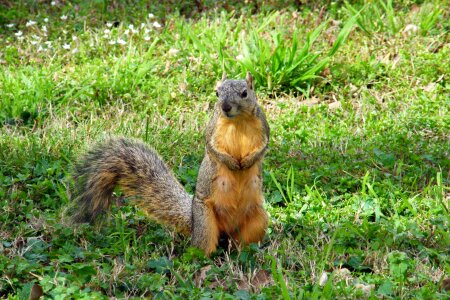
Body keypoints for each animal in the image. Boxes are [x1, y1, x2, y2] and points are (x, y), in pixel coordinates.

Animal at [71, 72, 268, 255]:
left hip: (258, 221)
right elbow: (213, 148)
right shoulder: (212, 128)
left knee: (243, 242)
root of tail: (193, 220)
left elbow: (263, 147)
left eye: (244, 93)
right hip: (206, 223)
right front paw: (231, 163)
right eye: (217, 93)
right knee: (202, 248)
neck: (237, 121)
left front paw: (248, 161)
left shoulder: (264, 127)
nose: (225, 107)